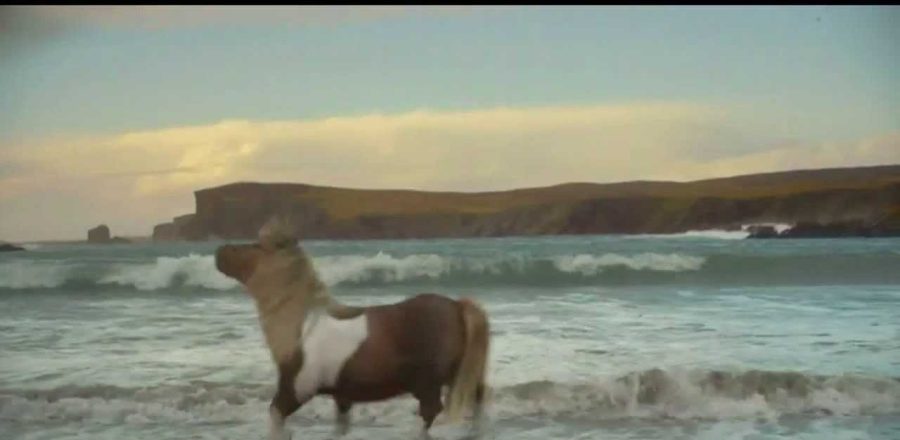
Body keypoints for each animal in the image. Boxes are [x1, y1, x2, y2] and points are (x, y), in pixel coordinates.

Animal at [214, 219, 491, 439]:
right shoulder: (342, 397)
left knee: (431, 412)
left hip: (429, 383)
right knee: (475, 402)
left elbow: (275, 418)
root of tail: (457, 306)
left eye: (256, 246)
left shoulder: (296, 391)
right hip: (462, 376)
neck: (302, 326)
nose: (219, 251)